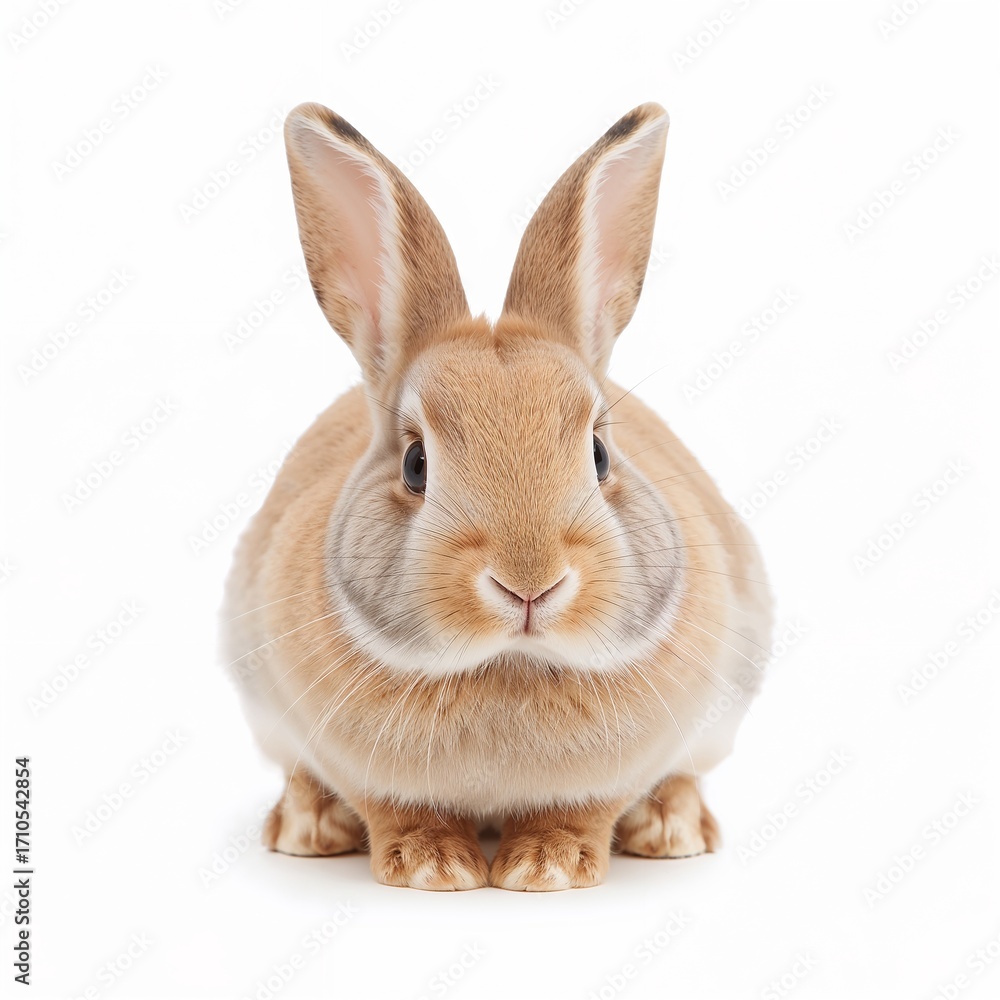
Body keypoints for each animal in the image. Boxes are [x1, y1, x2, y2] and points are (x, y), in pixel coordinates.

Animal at [222, 100, 773, 891]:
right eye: (416, 464)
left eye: (600, 454)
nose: (530, 585)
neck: (506, 664)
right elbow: (394, 807)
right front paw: (431, 867)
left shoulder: (611, 774)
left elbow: (581, 810)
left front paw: (548, 867)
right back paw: (309, 828)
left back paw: (672, 829)